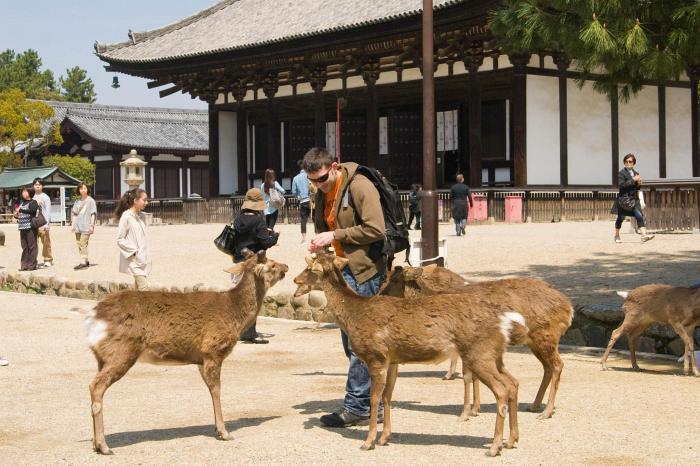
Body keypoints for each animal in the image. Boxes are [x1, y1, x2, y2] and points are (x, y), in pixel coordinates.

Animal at [85, 251, 288, 456]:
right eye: (272, 264)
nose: (286, 266)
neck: (235, 316)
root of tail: (93, 317)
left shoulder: (200, 359)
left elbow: (210, 390)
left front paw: (217, 428)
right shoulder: (213, 350)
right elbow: (217, 389)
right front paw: (224, 432)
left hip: (102, 357)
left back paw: (95, 444)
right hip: (121, 352)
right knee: (96, 386)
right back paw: (104, 446)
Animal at [292, 253, 528, 456]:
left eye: (309, 268)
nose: (295, 279)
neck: (354, 315)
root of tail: (504, 321)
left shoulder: (375, 356)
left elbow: (375, 398)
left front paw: (368, 442)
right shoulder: (393, 360)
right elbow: (387, 396)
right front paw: (385, 438)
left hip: (479, 354)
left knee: (501, 390)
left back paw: (494, 447)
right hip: (495, 356)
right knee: (513, 383)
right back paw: (511, 440)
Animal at [382, 264, 576, 420]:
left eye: (392, 279)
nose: (380, 293)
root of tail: (569, 308)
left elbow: (467, 376)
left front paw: (466, 412)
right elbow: (474, 376)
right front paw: (475, 409)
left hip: (546, 335)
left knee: (557, 365)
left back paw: (546, 411)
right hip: (535, 341)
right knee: (547, 367)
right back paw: (534, 405)